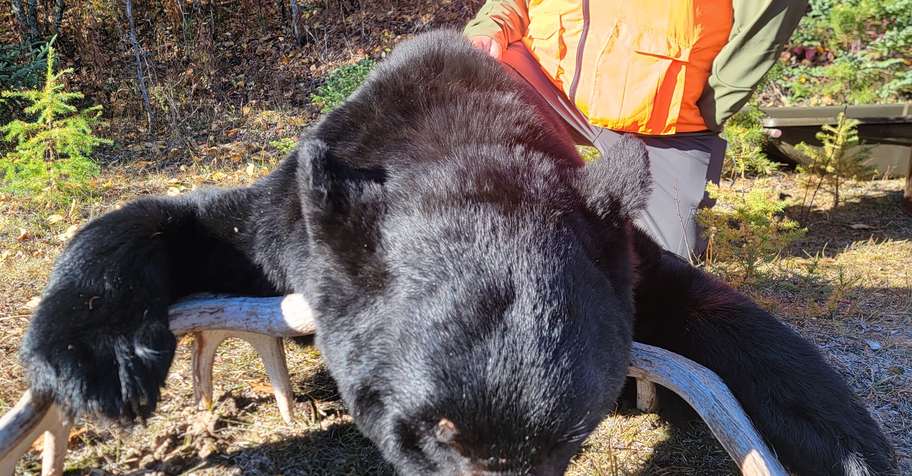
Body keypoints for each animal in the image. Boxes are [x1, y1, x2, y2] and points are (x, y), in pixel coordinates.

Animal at [19, 30, 896, 475]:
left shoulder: (619, 259)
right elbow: (167, 222)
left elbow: (723, 314)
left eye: (570, 436)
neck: (457, 145)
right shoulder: (292, 220)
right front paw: (95, 361)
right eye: (434, 430)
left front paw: (849, 446)